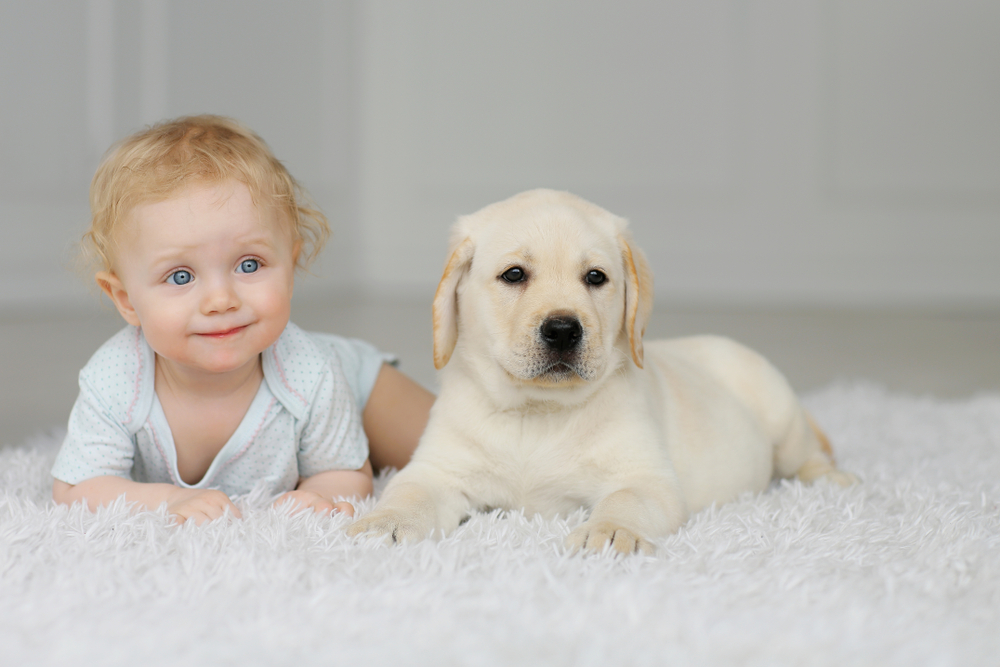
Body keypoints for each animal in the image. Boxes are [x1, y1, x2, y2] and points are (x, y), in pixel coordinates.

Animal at [348, 188, 856, 552]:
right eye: (514, 275)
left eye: (596, 277)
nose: (562, 330)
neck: (538, 412)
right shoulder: (437, 470)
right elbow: (408, 493)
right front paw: (382, 523)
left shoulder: (646, 478)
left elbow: (625, 500)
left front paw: (610, 533)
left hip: (780, 412)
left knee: (808, 455)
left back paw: (835, 482)